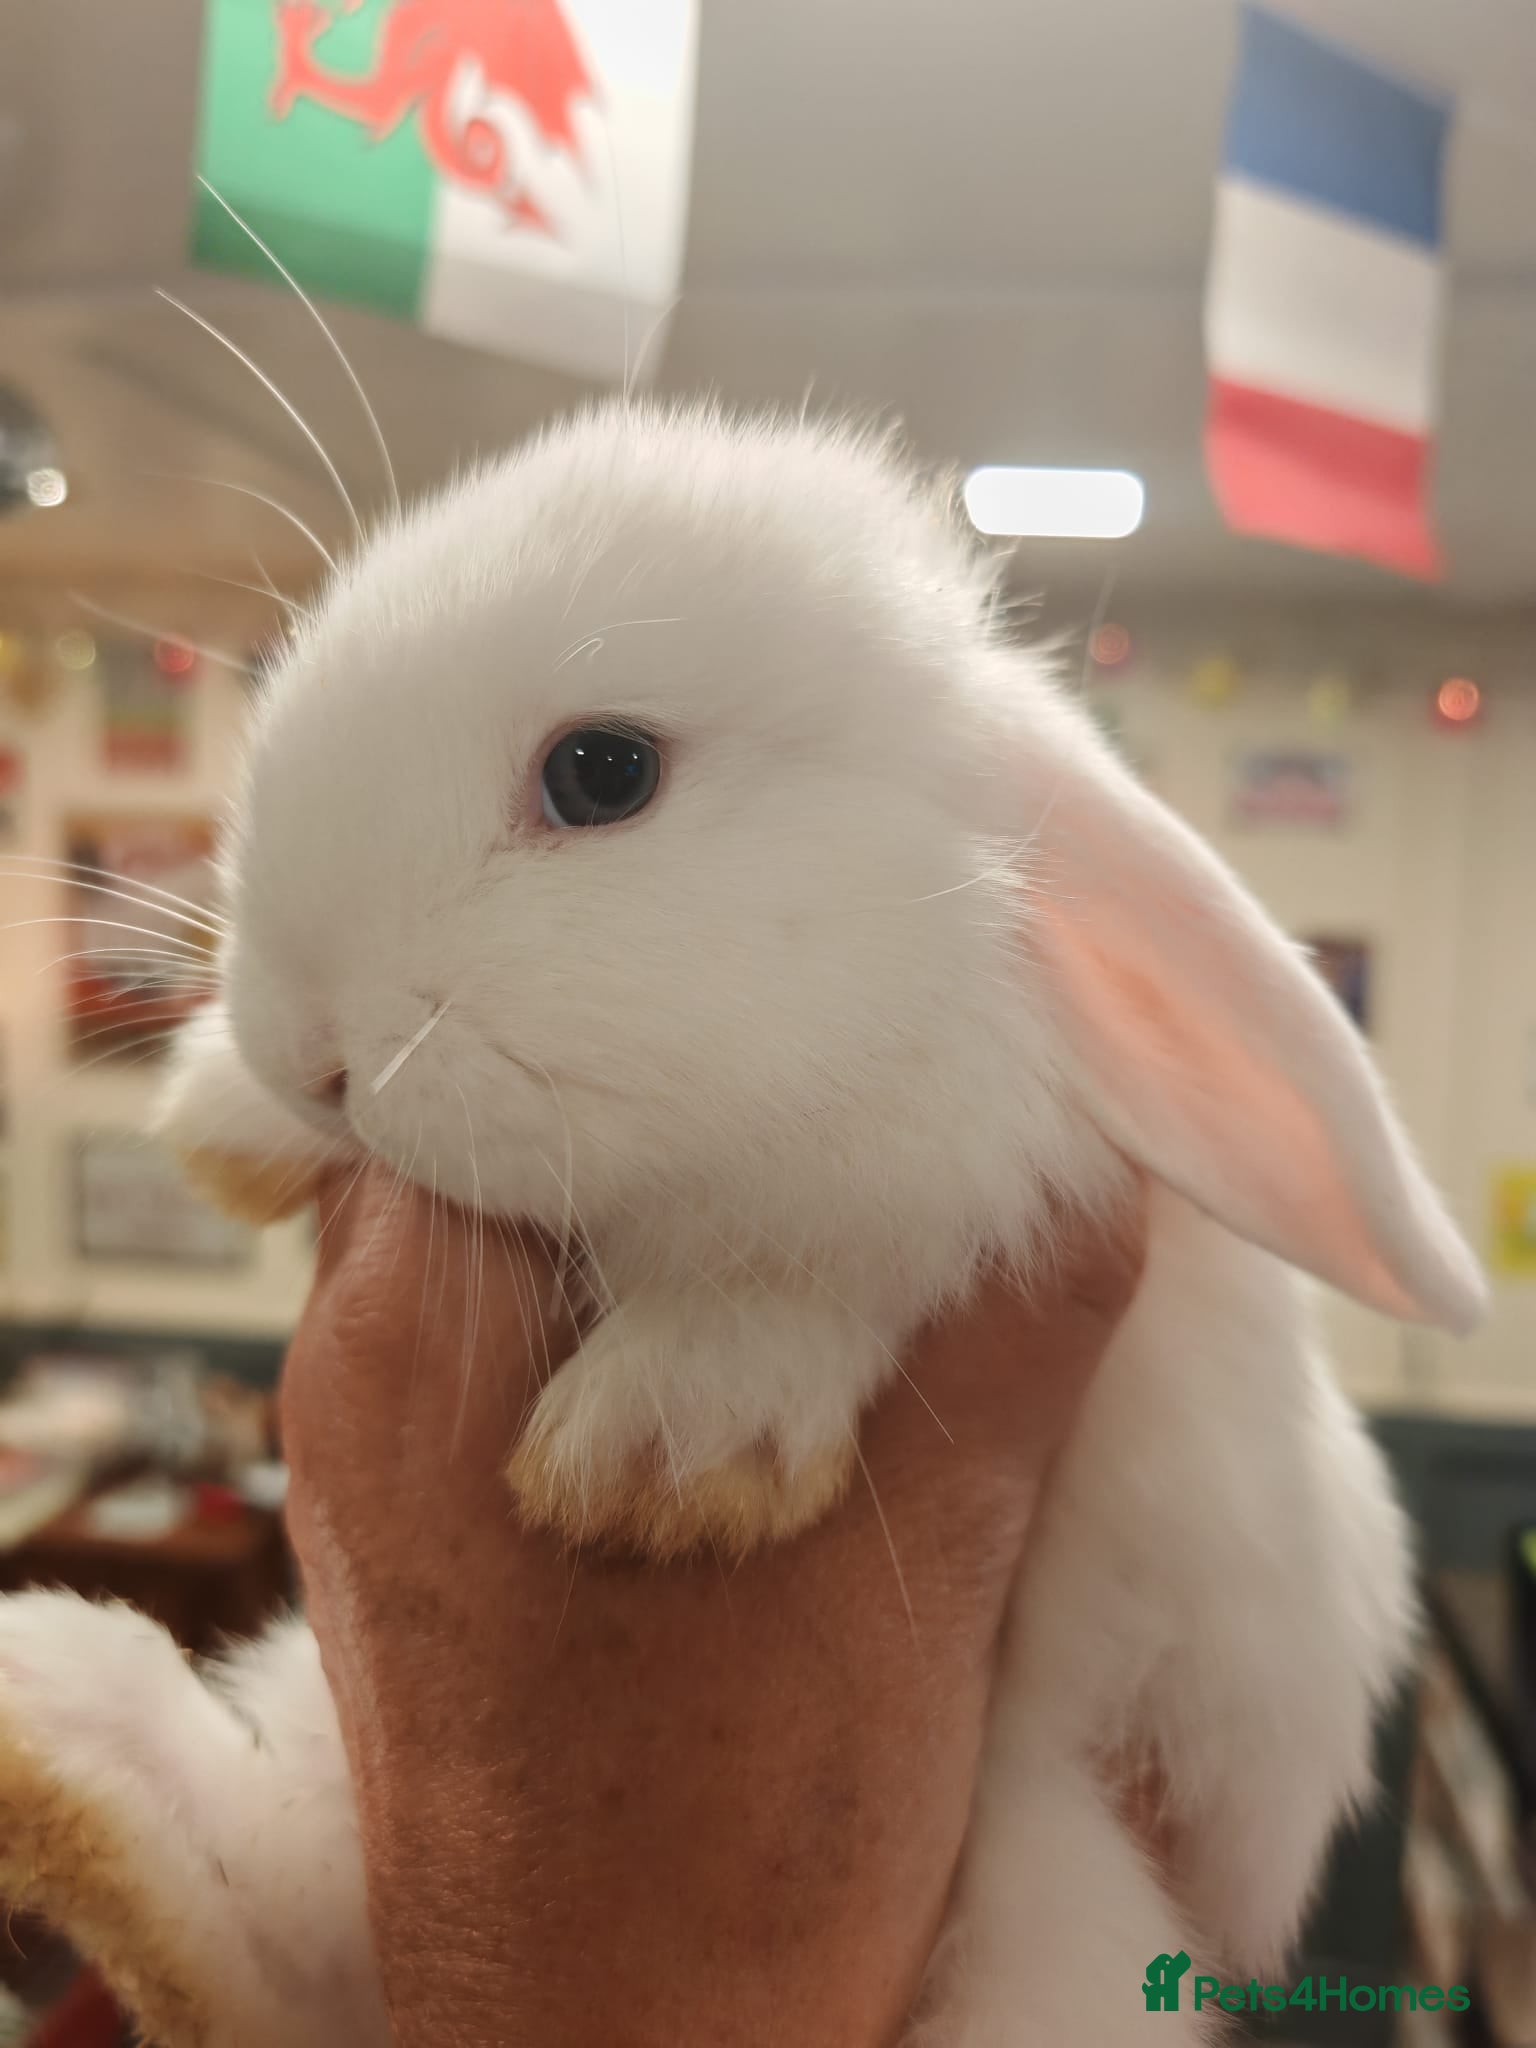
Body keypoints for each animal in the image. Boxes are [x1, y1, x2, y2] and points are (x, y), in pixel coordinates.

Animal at [0, 404, 1482, 2046]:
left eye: (602, 771)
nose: (306, 1043)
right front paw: (221, 1111)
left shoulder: (964, 1190)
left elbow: (818, 1273)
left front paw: (669, 1447)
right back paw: (49, 1719)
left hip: (1054, 1905)